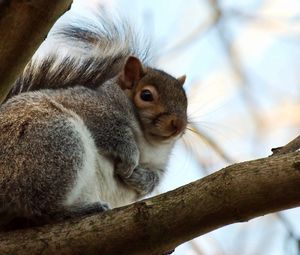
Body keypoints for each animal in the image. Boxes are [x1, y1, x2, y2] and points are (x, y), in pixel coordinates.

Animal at [0, 10, 188, 228]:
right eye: (146, 95)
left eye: (185, 100)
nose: (179, 125)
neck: (149, 142)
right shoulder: (89, 106)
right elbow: (111, 132)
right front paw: (130, 157)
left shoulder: (158, 164)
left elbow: (154, 179)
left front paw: (141, 178)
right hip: (55, 142)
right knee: (39, 208)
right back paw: (77, 210)